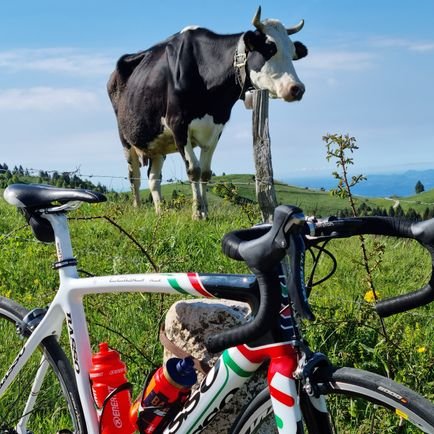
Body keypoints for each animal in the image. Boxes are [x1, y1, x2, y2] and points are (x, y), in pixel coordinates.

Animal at [107, 5, 306, 217]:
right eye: (270, 48)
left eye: (293, 52)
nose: (297, 88)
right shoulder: (178, 124)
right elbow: (194, 170)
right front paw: (197, 213)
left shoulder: (216, 127)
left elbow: (205, 172)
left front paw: (205, 213)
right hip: (125, 139)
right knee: (134, 175)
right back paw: (137, 208)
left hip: (156, 143)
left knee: (153, 178)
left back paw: (160, 212)